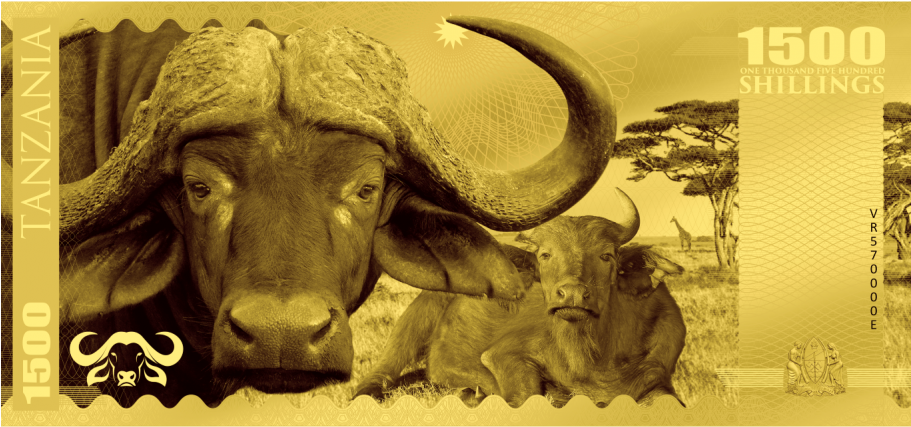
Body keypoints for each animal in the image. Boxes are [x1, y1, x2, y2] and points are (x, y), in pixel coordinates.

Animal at [355, 189, 687, 408]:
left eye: (606, 255)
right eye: (545, 255)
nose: (572, 294)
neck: (591, 356)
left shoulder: (658, 377)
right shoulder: (503, 355)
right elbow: (528, 393)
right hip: (410, 328)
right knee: (375, 379)